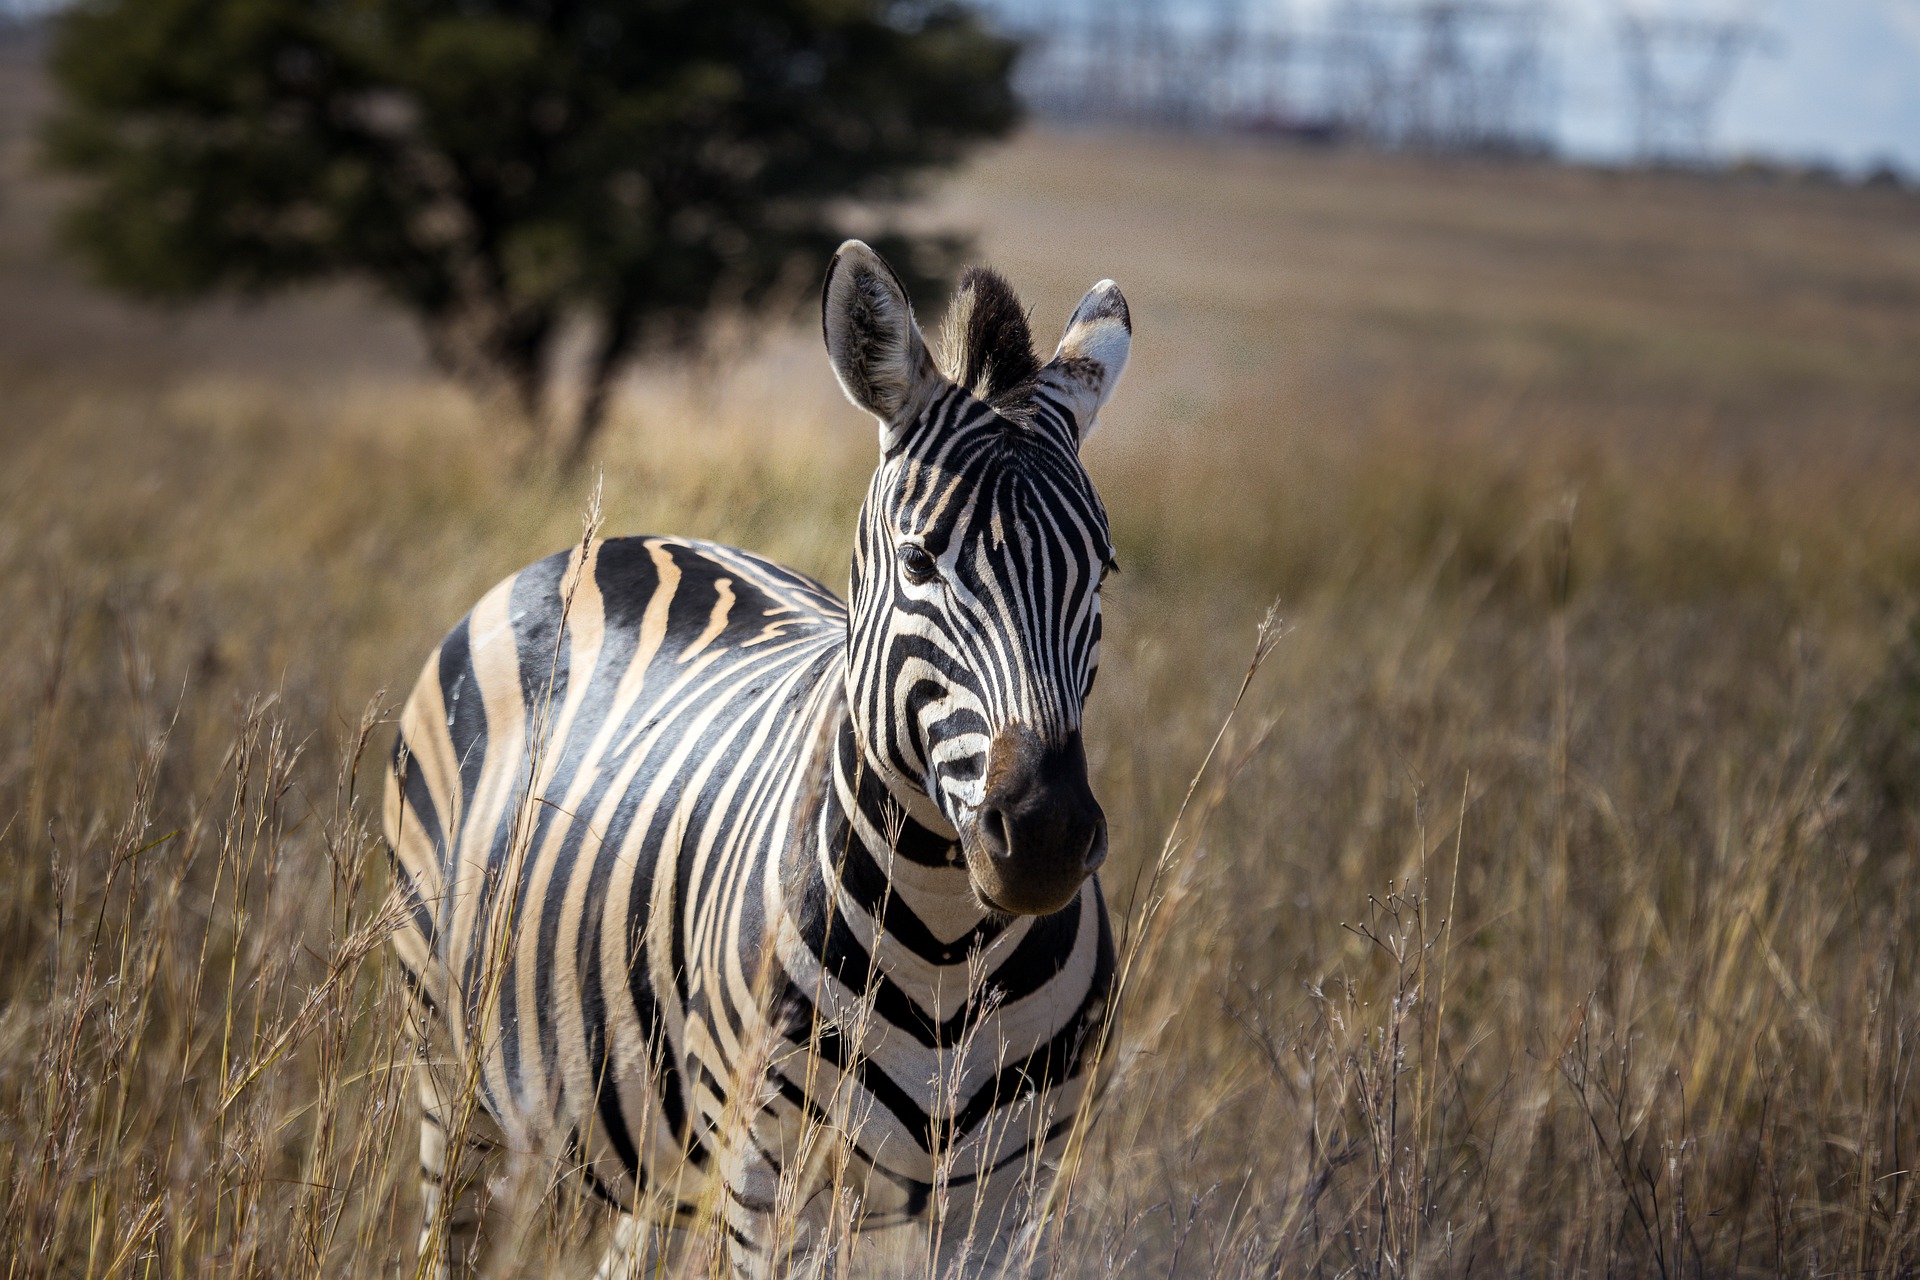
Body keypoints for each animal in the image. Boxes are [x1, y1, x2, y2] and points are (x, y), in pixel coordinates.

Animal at [384, 242, 1128, 1280]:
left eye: (1102, 571)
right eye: (919, 562)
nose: (1046, 837)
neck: (947, 938)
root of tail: (625, 541)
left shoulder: (1007, 1197)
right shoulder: (770, 1178)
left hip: (659, 1144)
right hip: (449, 1060)